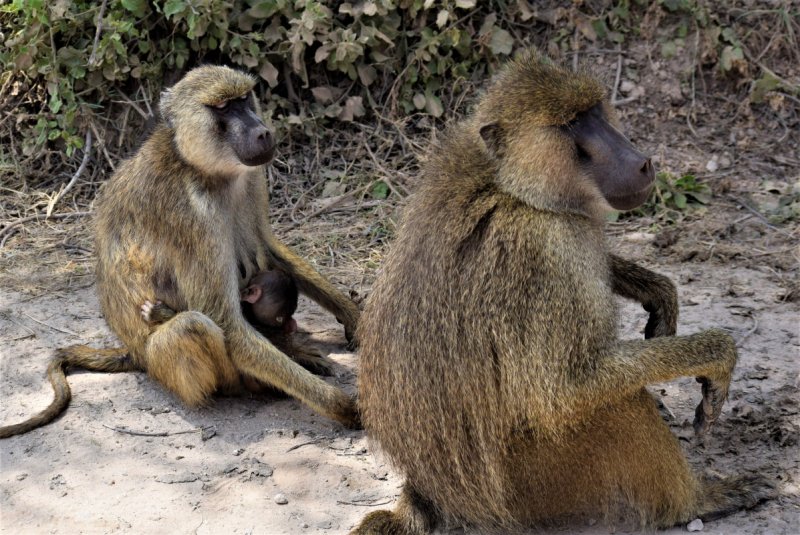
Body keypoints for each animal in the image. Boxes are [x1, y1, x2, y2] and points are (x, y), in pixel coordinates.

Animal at [0, 65, 360, 439]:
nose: (262, 132)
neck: (199, 166)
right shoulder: (190, 213)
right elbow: (225, 322)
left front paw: (354, 317)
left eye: (245, 99)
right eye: (223, 108)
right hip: (164, 364)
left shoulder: (251, 179)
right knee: (192, 326)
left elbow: (269, 250)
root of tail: (133, 353)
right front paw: (342, 405)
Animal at [351, 50, 772, 533]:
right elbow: (565, 390)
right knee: (614, 402)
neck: (513, 185)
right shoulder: (540, 250)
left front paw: (660, 293)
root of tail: (428, 490)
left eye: (594, 112)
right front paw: (716, 354)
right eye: (571, 124)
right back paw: (696, 501)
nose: (642, 163)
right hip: (534, 482)